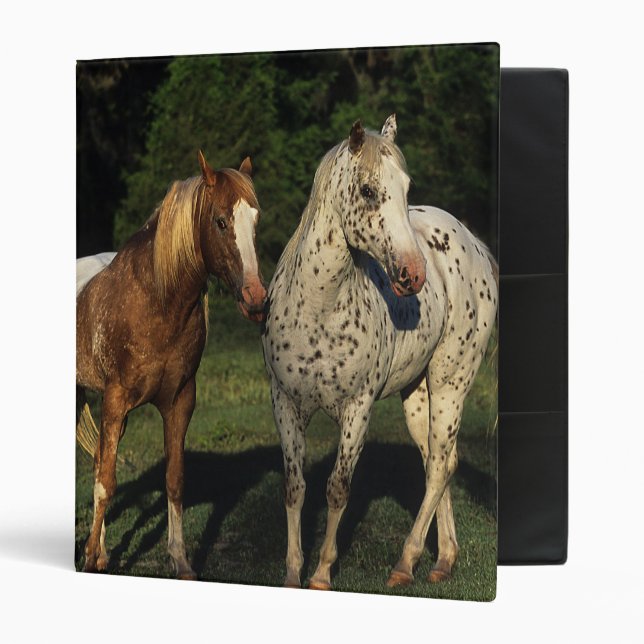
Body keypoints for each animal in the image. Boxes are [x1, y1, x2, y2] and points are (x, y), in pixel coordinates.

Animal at [76, 151, 267, 579]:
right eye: (220, 221)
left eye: (256, 221)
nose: (256, 298)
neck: (156, 301)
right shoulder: (115, 401)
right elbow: (107, 482)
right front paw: (91, 558)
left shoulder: (179, 401)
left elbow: (174, 479)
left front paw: (180, 560)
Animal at [262, 115, 498, 590]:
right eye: (368, 190)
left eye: (407, 187)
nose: (413, 274)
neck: (319, 306)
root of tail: (474, 244)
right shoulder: (285, 404)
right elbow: (295, 488)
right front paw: (293, 573)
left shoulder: (358, 409)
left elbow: (338, 488)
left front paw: (321, 573)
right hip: (418, 397)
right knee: (439, 461)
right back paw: (444, 560)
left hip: (450, 385)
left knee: (440, 466)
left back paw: (406, 563)